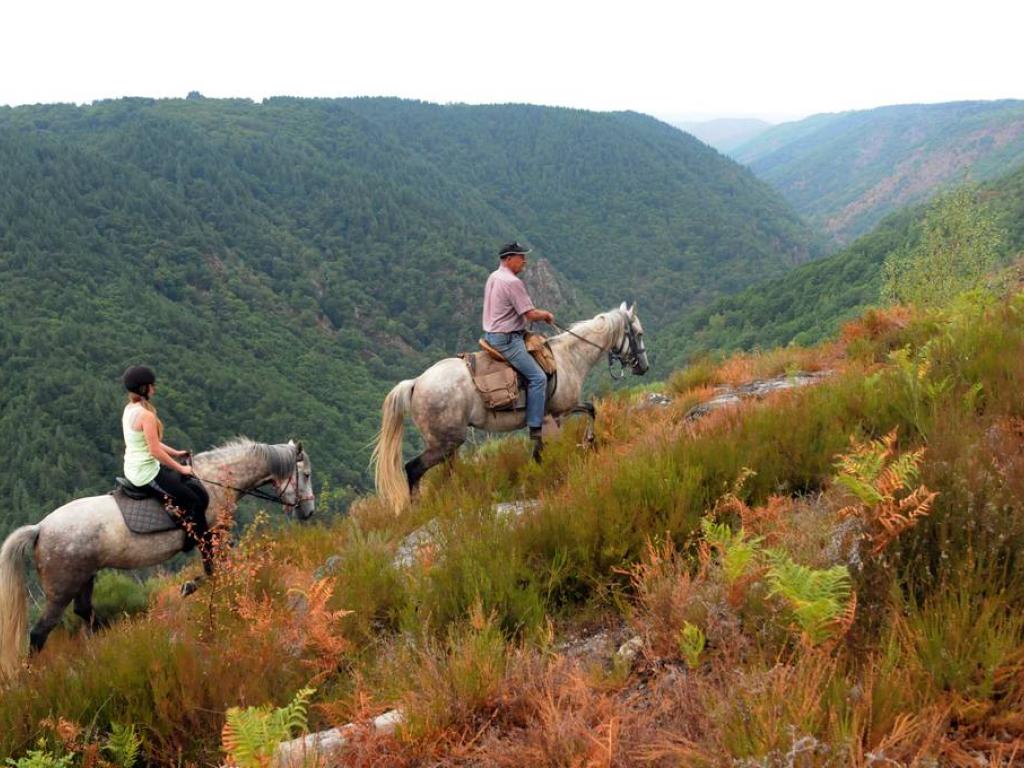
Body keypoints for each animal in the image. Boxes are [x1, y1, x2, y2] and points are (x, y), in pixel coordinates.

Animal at [0, 438, 311, 679]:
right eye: (306, 475)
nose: (308, 512)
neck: (216, 481)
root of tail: (40, 528)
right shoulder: (211, 537)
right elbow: (215, 571)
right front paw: (189, 587)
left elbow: (217, 570)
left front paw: (191, 586)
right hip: (61, 588)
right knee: (40, 633)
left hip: (85, 578)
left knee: (85, 614)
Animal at [374, 303, 647, 514]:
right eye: (639, 333)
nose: (643, 367)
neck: (568, 357)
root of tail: (416, 383)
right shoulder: (559, 412)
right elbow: (589, 411)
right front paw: (587, 441)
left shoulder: (549, 417)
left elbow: (581, 416)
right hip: (444, 442)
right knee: (413, 469)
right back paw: (416, 508)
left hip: (448, 444)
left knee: (447, 471)